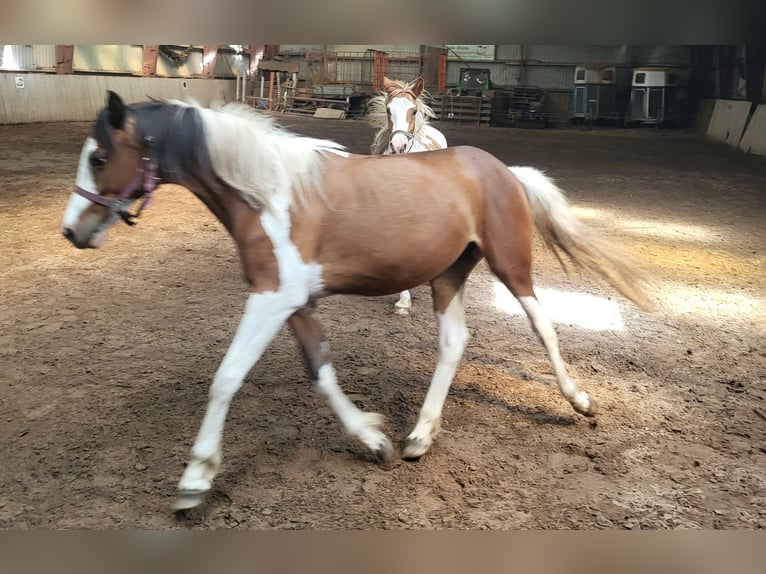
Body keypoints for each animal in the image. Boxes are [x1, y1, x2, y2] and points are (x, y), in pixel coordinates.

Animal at [61, 91, 654, 511]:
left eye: (100, 156)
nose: (71, 231)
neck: (268, 194)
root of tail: (504, 170)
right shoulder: (295, 302)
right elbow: (321, 372)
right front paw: (374, 441)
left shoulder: (270, 298)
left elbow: (226, 377)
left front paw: (195, 477)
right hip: (446, 275)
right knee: (454, 341)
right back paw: (419, 435)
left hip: (511, 265)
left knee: (543, 325)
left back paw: (579, 402)